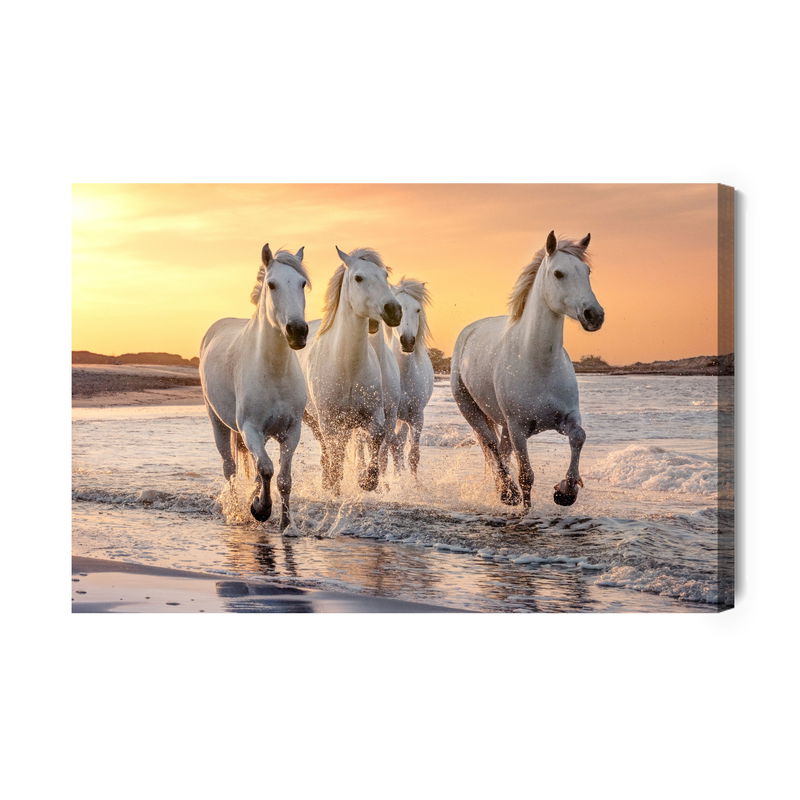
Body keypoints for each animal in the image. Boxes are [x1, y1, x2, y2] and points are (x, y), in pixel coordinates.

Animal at [199, 244, 310, 529]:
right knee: (230, 468)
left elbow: (283, 478)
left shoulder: (291, 431)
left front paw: (286, 524)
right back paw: (237, 510)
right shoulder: (250, 429)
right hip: (218, 423)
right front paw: (261, 509)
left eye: (302, 283)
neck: (274, 371)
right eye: (272, 284)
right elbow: (267, 469)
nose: (297, 331)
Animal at [297, 246, 402, 494]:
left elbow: (377, 438)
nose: (394, 310)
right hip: (313, 419)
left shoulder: (374, 415)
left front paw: (367, 481)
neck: (348, 368)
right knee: (327, 450)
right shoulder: (329, 420)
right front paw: (334, 485)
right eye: (358, 278)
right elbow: (335, 453)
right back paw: (328, 482)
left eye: (385, 276)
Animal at [450, 231, 604, 509]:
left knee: (501, 450)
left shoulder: (567, 418)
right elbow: (526, 476)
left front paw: (566, 491)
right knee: (491, 446)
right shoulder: (519, 428)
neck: (538, 363)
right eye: (558, 273)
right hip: (472, 410)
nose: (594, 315)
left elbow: (579, 437)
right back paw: (507, 493)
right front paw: (526, 507)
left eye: (586, 271)